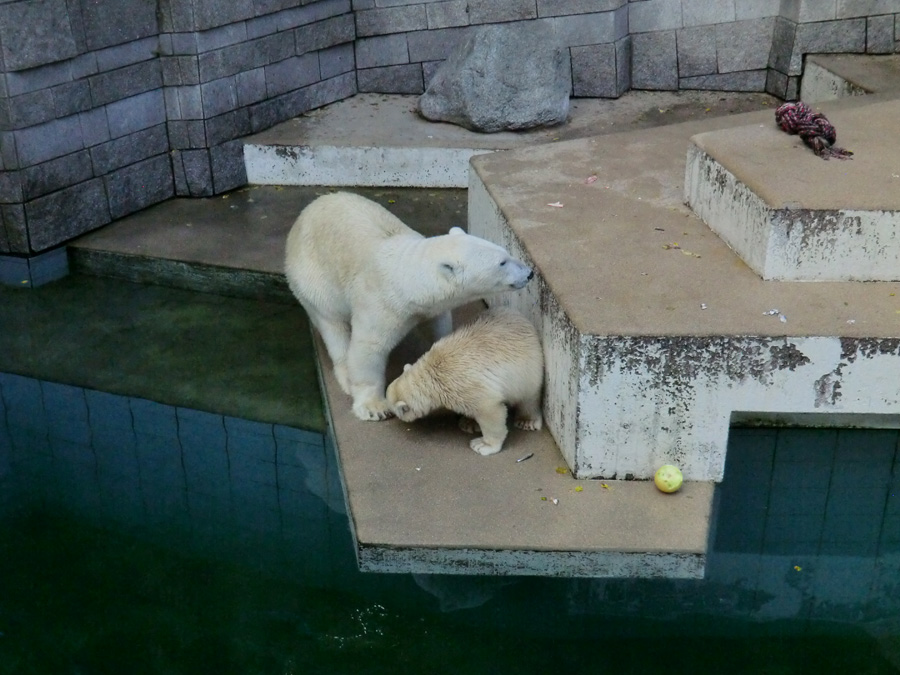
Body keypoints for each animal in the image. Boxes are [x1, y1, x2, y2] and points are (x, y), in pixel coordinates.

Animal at [284, 191, 532, 422]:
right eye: (502, 262)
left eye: (506, 252)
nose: (529, 273)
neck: (406, 277)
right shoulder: (379, 302)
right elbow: (368, 349)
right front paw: (374, 407)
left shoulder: (428, 308)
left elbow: (438, 326)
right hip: (313, 279)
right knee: (332, 324)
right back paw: (345, 377)